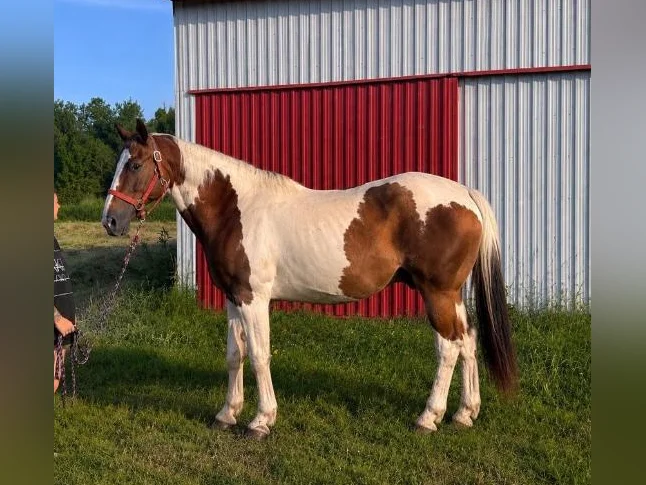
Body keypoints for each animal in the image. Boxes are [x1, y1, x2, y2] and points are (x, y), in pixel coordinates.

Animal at [102, 119, 517, 439]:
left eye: (135, 164)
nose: (110, 221)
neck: (236, 208)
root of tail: (464, 193)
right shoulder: (234, 297)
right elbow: (235, 355)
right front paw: (226, 414)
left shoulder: (254, 299)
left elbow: (259, 355)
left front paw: (260, 421)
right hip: (452, 295)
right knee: (468, 340)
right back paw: (464, 414)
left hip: (437, 293)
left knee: (448, 348)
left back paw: (428, 418)